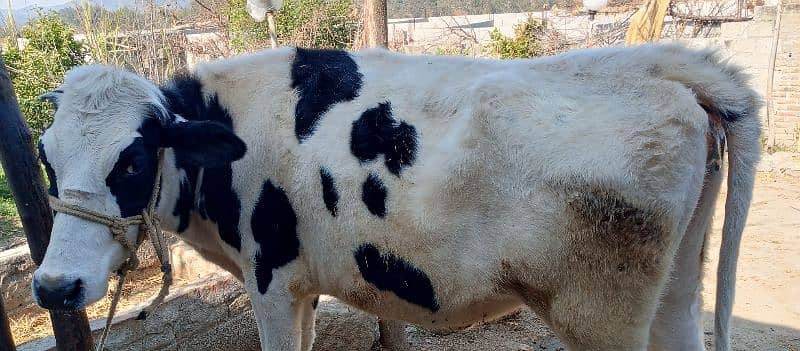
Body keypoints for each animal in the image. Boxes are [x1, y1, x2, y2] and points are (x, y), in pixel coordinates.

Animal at [31, 44, 760, 351]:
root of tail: (656, 63)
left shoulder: (271, 279)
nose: (55, 286)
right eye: (45, 157)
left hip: (602, 315)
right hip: (677, 291)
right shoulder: (300, 287)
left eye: (131, 158)